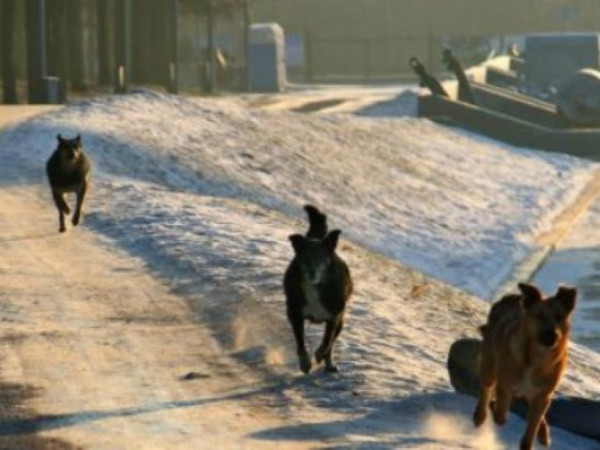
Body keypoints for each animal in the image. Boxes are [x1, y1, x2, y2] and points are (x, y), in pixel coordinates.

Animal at [284, 205, 354, 372]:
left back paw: (329, 363)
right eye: (305, 257)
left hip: (341, 322)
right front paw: (305, 362)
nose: (312, 271)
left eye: (321, 257)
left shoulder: (334, 317)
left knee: (331, 343)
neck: (316, 287)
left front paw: (319, 354)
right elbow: (300, 341)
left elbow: (327, 342)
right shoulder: (295, 314)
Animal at [474, 284, 576, 448]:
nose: (553, 335)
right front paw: (497, 411)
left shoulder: (543, 393)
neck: (537, 358)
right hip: (489, 364)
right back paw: (480, 414)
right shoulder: (505, 381)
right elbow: (501, 410)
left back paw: (543, 434)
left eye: (559, 316)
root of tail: (510, 298)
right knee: (486, 388)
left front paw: (529, 441)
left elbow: (534, 423)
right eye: (539, 315)